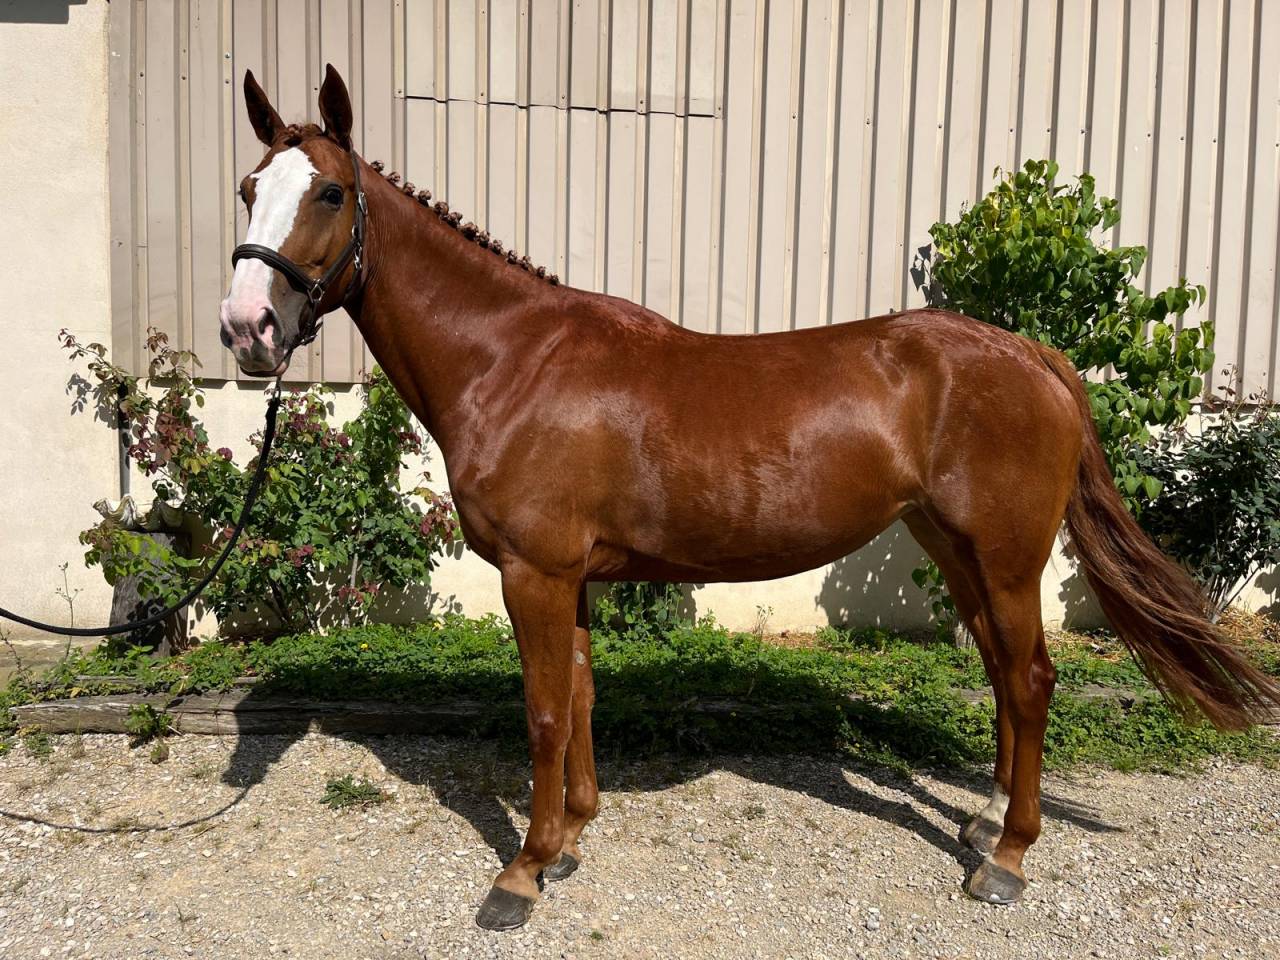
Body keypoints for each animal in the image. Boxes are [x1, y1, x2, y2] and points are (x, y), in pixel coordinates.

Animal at [218, 65, 1280, 930]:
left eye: (330, 190)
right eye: (247, 190)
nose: (246, 329)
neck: (512, 360)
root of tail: (1033, 356)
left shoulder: (536, 574)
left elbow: (545, 712)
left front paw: (522, 872)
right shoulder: (571, 578)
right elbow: (582, 695)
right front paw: (572, 840)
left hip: (1009, 554)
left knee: (1028, 680)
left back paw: (1007, 860)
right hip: (957, 550)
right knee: (1003, 678)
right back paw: (983, 826)